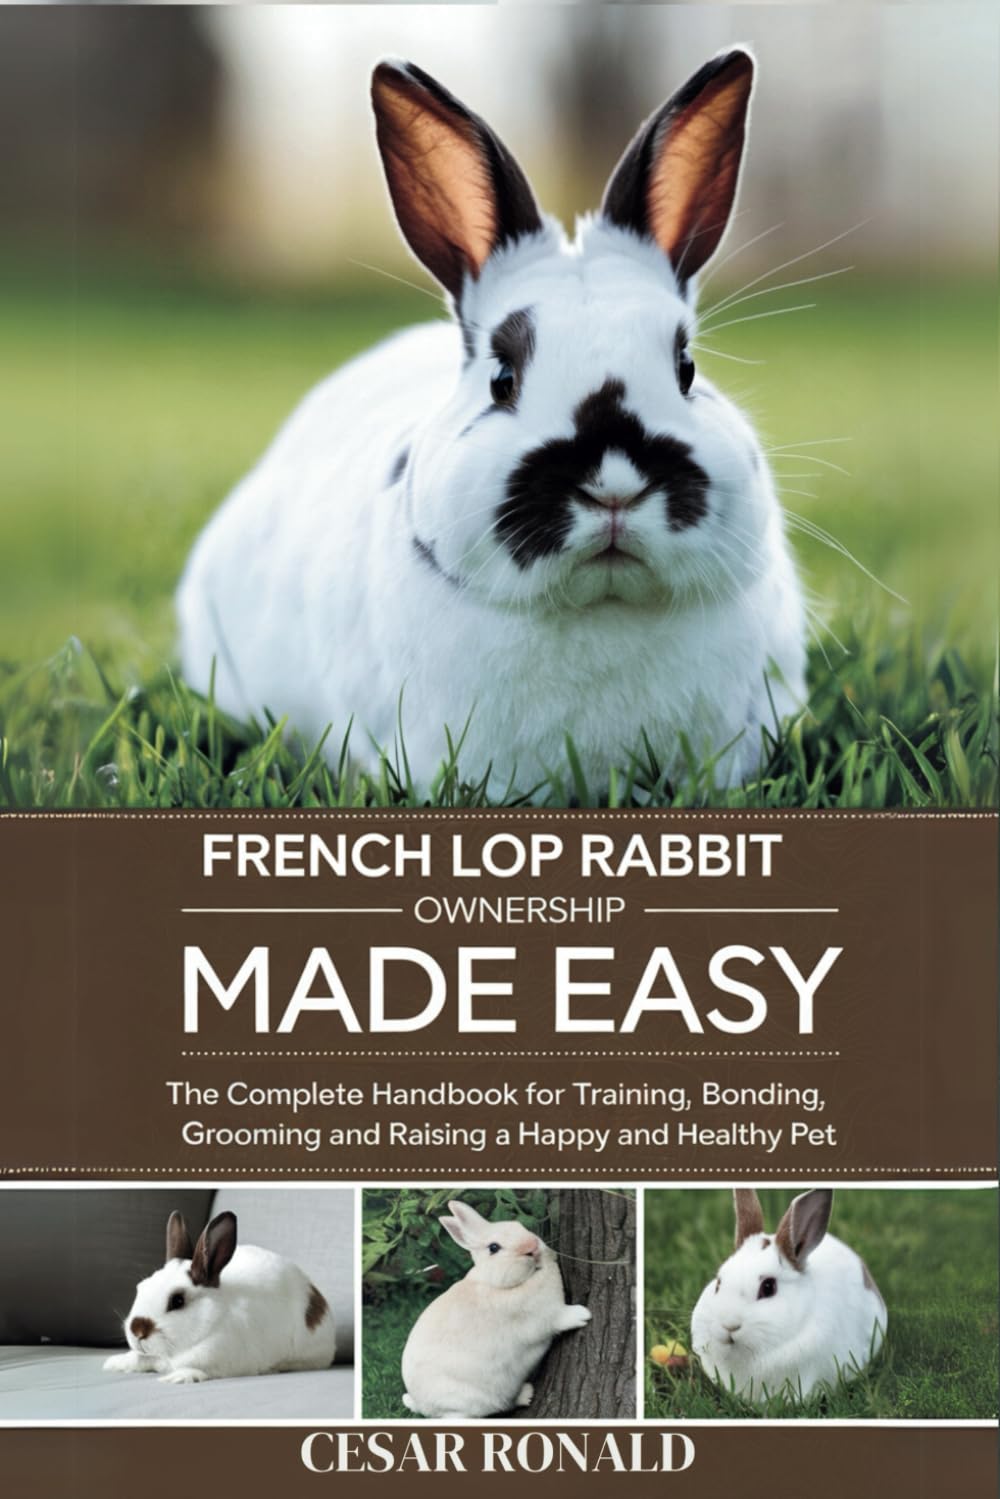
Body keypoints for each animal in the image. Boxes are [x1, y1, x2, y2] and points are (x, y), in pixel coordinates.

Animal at [102, 1209, 336, 1384]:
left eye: (177, 1300)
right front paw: (115, 1362)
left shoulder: (224, 1361)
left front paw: (178, 1377)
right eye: (141, 1287)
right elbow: (139, 1358)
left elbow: (201, 1370)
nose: (137, 1330)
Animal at [399, 1198, 591, 1418]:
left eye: (518, 1225)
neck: (501, 1286)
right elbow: (559, 1319)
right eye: (493, 1247)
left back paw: (527, 1394)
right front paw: (582, 1314)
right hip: (467, 1402)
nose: (532, 1246)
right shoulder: (543, 1318)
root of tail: (421, 1404)